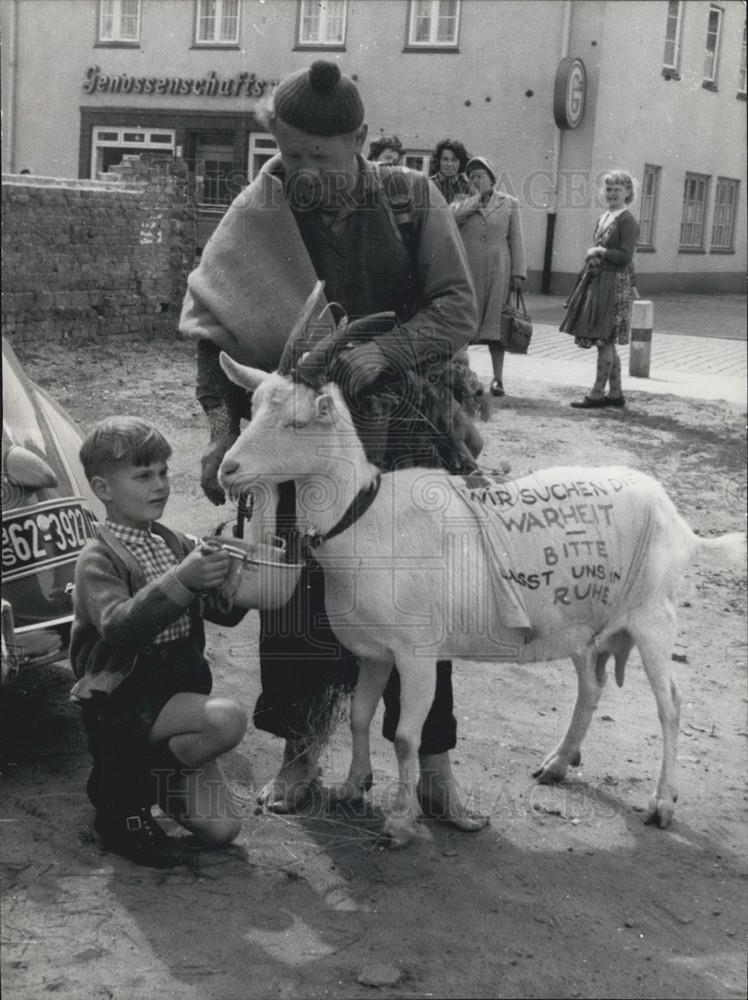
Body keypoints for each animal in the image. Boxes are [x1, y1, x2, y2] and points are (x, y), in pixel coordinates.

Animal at [219, 356, 744, 848]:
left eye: (298, 423)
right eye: (252, 407)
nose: (227, 470)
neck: (365, 520)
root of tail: (681, 524)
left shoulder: (418, 652)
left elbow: (406, 738)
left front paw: (400, 824)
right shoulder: (374, 651)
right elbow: (360, 716)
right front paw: (351, 788)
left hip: (654, 617)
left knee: (671, 705)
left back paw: (662, 802)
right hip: (583, 623)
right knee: (592, 687)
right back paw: (558, 762)